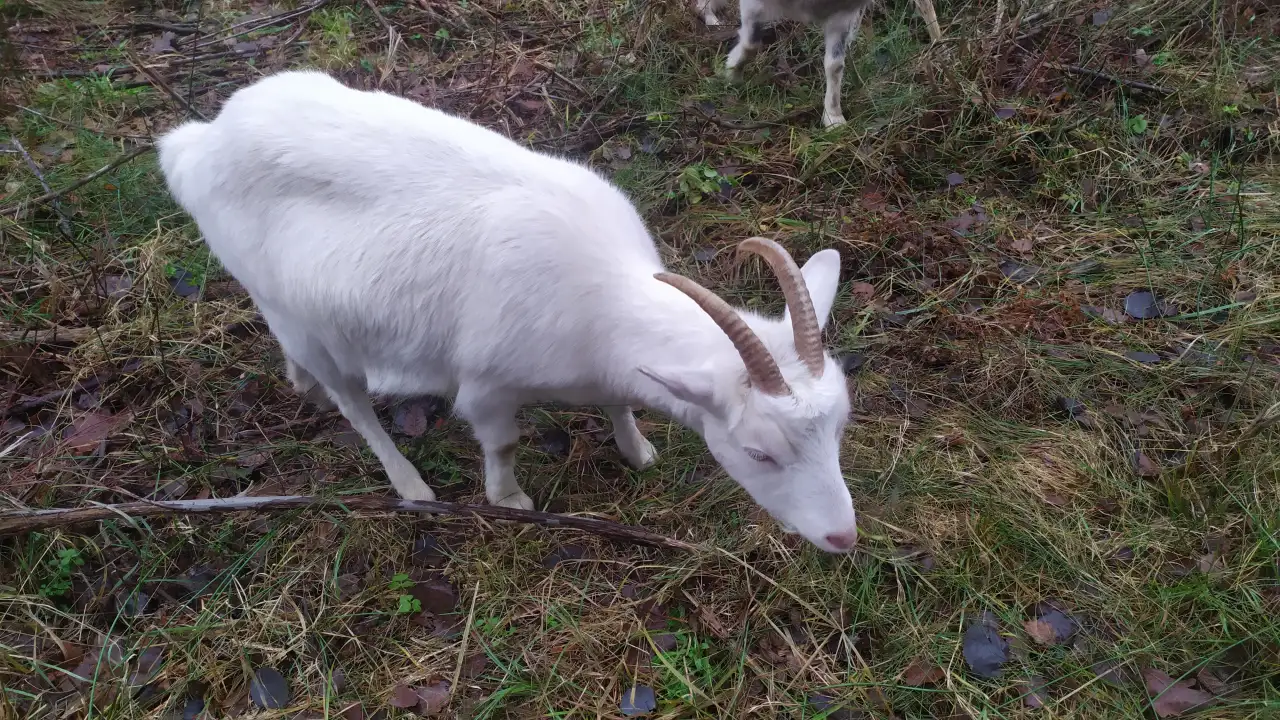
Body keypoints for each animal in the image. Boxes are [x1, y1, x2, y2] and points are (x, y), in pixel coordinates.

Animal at [156, 70, 859, 553]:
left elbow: (620, 402)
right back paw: (410, 485)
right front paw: (510, 499)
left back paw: (298, 381)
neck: (605, 295)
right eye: (759, 453)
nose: (843, 538)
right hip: (298, 314)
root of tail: (199, 143)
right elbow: (503, 440)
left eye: (838, 431)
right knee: (352, 403)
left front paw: (638, 451)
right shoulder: (489, 384)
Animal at [696, 0, 942, 127]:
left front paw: (833, 118)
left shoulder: (842, 17)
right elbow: (750, 44)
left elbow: (835, 66)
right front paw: (731, 73)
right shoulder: (755, 5)